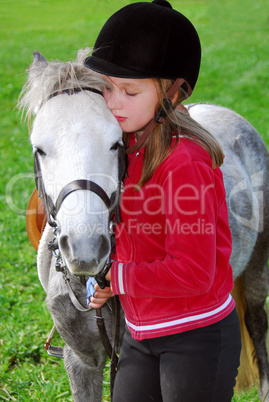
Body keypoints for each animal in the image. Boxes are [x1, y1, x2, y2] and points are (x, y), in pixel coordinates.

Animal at [19, 51, 268, 402]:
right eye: (39, 148)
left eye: (115, 144)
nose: (85, 249)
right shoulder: (81, 361)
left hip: (259, 262)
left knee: (257, 322)